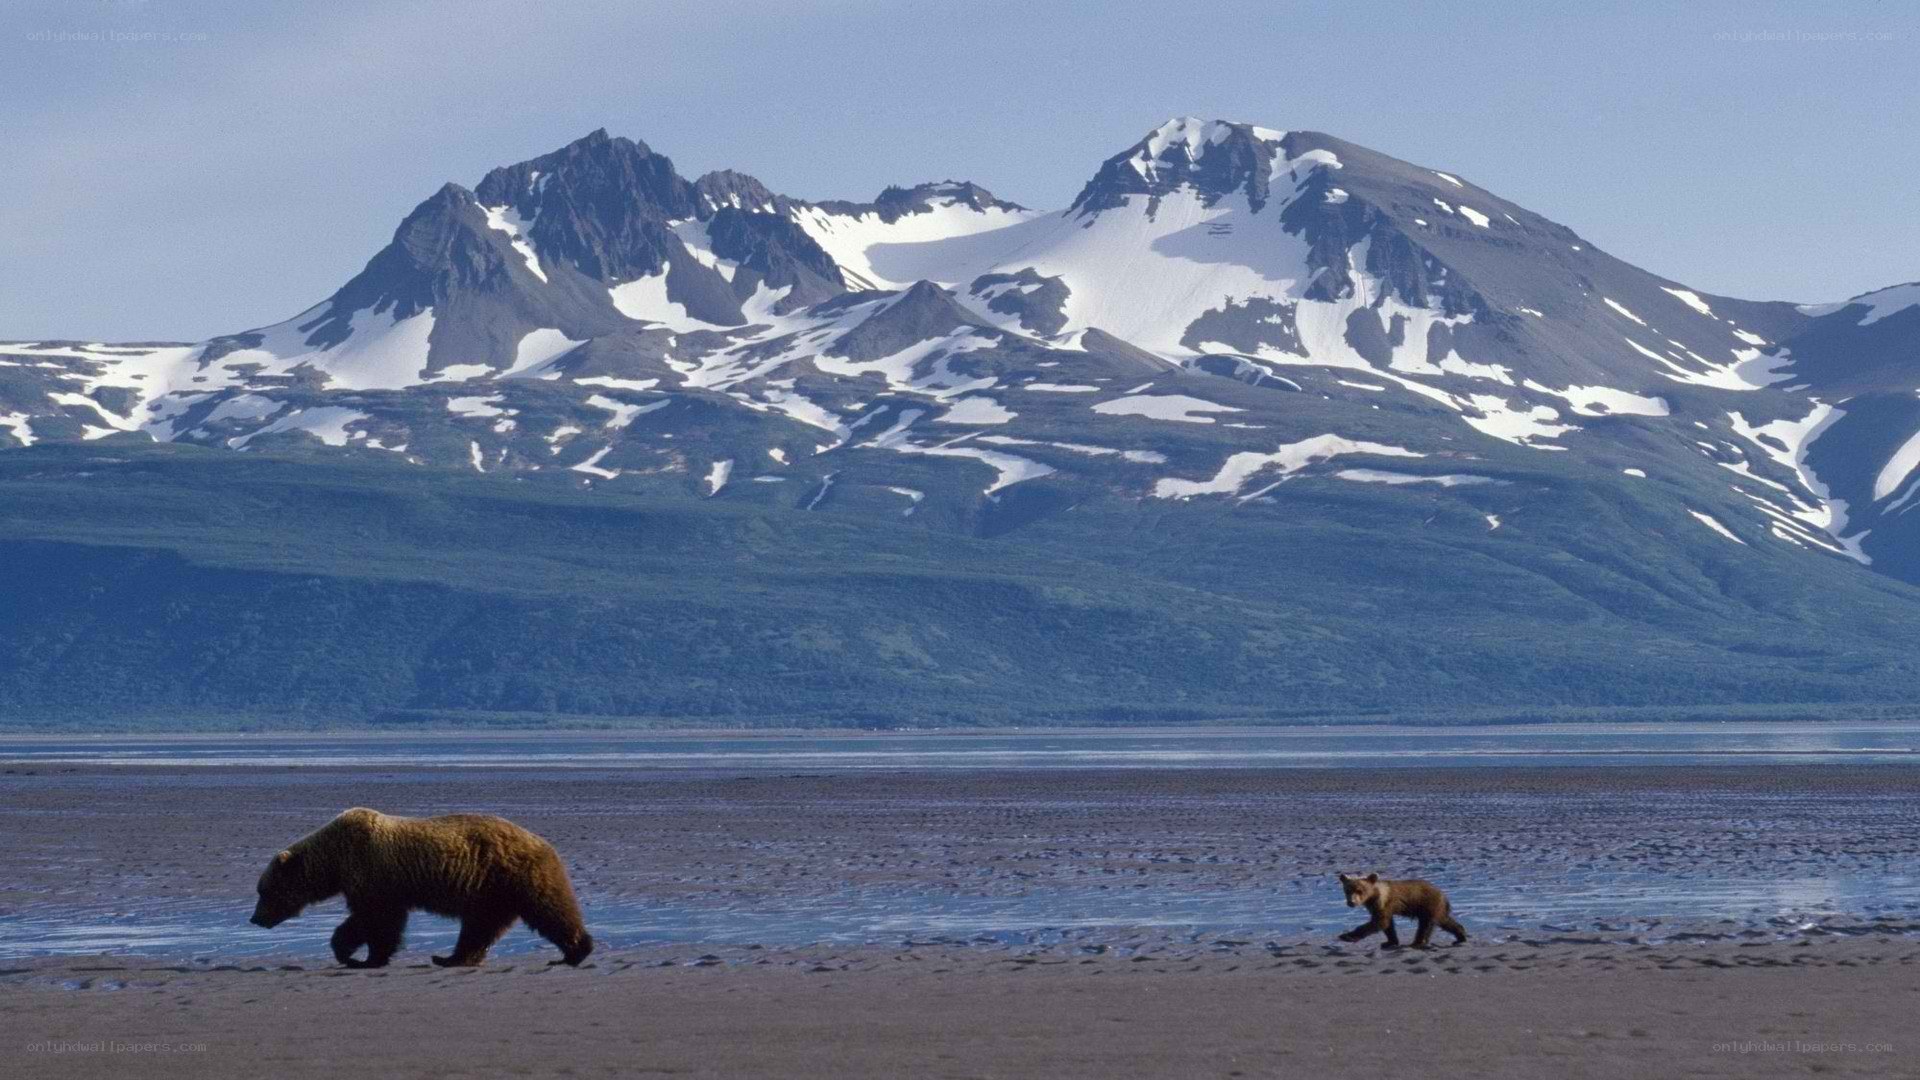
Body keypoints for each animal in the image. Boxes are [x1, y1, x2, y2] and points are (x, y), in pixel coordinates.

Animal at [249, 807, 594, 968]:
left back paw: (575, 951)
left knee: (549, 909)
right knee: (480, 926)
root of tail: (542, 841)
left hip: (515, 876)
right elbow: (368, 920)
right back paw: (451, 958)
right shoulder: (371, 882)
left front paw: (363, 957)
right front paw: (350, 953)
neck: (334, 859)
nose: (255, 918)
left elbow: (377, 920)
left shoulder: (372, 874)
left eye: (263, 891)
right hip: (492, 891)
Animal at [1336, 872, 1468, 949]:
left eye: (1360, 890)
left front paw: (1347, 936)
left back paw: (1418, 942)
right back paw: (1460, 936)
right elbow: (1388, 925)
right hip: (1434, 908)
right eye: (1347, 890)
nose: (1351, 902)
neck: (1373, 897)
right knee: (1445, 921)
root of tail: (1443, 895)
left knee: (1426, 925)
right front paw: (1390, 942)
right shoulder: (1377, 907)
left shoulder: (1384, 903)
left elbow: (1380, 922)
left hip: (1428, 905)